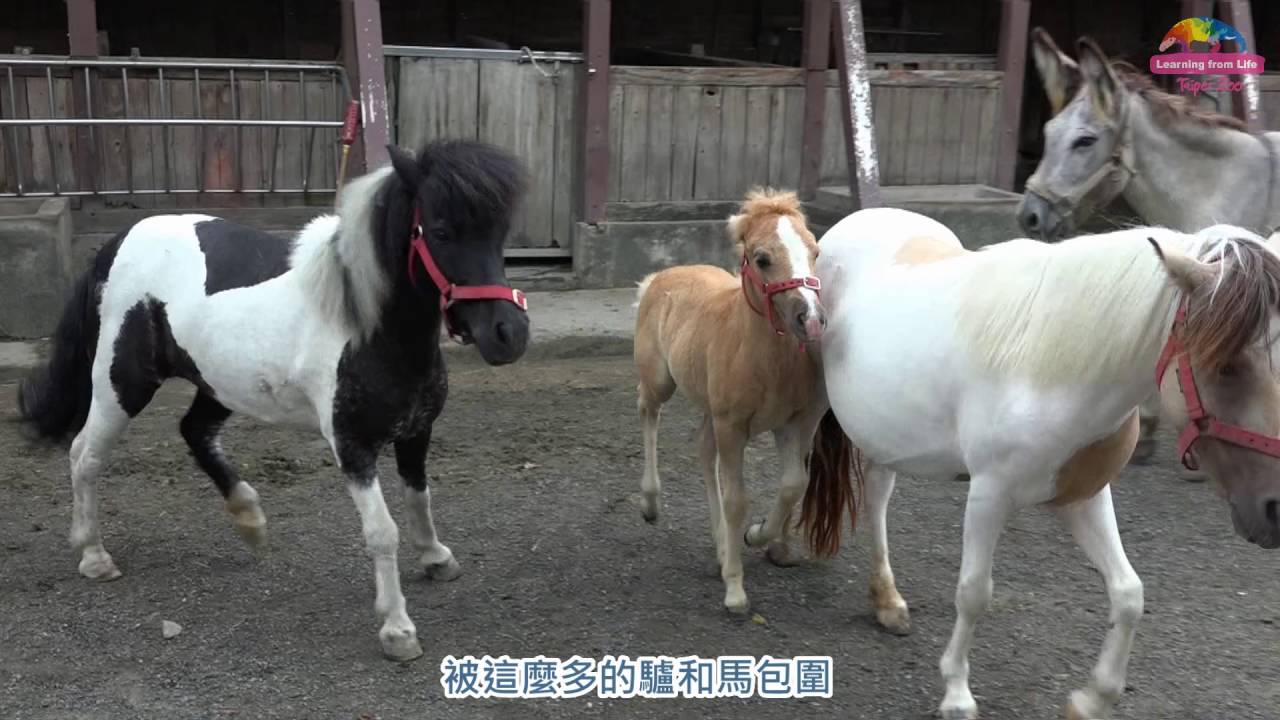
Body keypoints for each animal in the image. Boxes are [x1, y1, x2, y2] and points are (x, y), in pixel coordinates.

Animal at [16, 140, 531, 662]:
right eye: (442, 231)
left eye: (499, 232)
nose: (508, 335)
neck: (363, 325)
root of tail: (117, 242)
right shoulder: (352, 446)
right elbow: (382, 532)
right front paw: (397, 629)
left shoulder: (416, 431)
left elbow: (419, 498)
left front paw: (436, 558)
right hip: (122, 383)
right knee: (85, 455)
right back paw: (94, 555)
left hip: (217, 382)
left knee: (194, 432)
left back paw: (250, 521)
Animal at [632, 189, 829, 614]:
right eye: (762, 258)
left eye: (815, 250)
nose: (812, 320)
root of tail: (660, 277)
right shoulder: (733, 425)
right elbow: (737, 499)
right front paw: (736, 591)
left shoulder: (792, 423)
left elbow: (793, 483)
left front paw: (755, 535)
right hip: (661, 381)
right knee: (648, 410)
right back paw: (651, 504)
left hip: (709, 408)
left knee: (704, 451)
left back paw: (722, 548)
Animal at [801, 207, 1280, 720]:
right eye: (1227, 366)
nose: (1274, 510)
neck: (1048, 364)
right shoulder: (989, 494)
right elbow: (974, 593)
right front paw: (957, 694)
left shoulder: (1083, 495)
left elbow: (1129, 594)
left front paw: (1092, 699)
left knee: (877, 495)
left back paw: (887, 600)